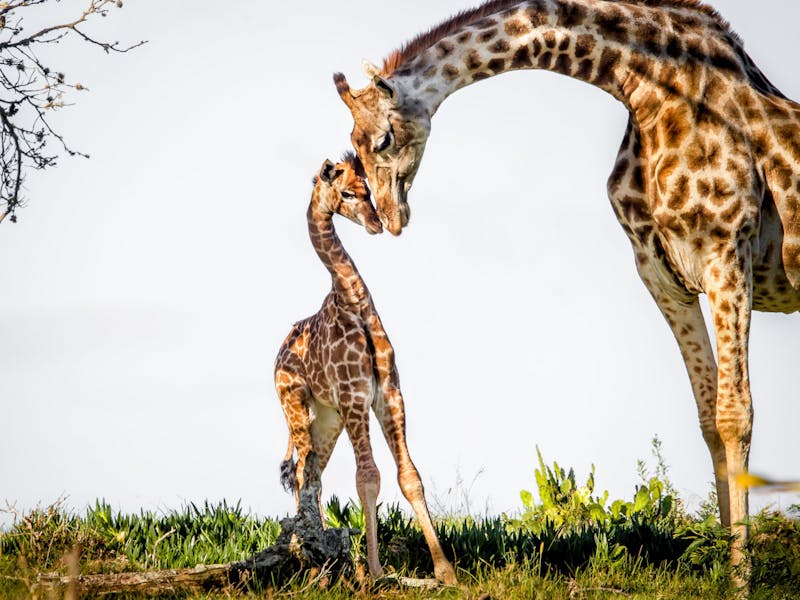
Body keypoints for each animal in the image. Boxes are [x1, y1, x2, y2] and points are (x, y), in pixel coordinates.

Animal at [274, 154, 457, 584]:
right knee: (304, 475)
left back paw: (321, 554)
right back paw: (317, 557)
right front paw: (374, 571)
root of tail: (277, 357)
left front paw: (445, 572)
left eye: (368, 190)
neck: (352, 301)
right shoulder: (356, 396)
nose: (376, 223)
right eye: (346, 193)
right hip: (296, 407)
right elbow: (368, 477)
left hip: (327, 418)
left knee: (313, 475)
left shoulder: (388, 393)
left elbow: (410, 476)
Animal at [332, 0, 800, 579]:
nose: (388, 220)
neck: (649, 94)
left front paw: (739, 576)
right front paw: (720, 560)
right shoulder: (663, 275)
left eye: (382, 140)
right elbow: (709, 418)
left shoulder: (726, 255)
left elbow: (736, 415)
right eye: (351, 147)